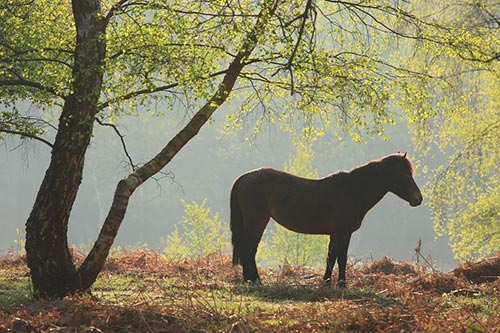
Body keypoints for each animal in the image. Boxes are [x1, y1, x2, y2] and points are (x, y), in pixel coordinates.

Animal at [229, 153, 422, 286]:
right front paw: (342, 284)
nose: (418, 199)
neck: (352, 191)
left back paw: (250, 280)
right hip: (256, 221)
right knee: (249, 250)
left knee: (249, 250)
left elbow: (331, 257)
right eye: (405, 174)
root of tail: (246, 176)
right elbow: (342, 258)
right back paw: (255, 281)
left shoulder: (335, 234)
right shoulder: (344, 233)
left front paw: (327, 281)